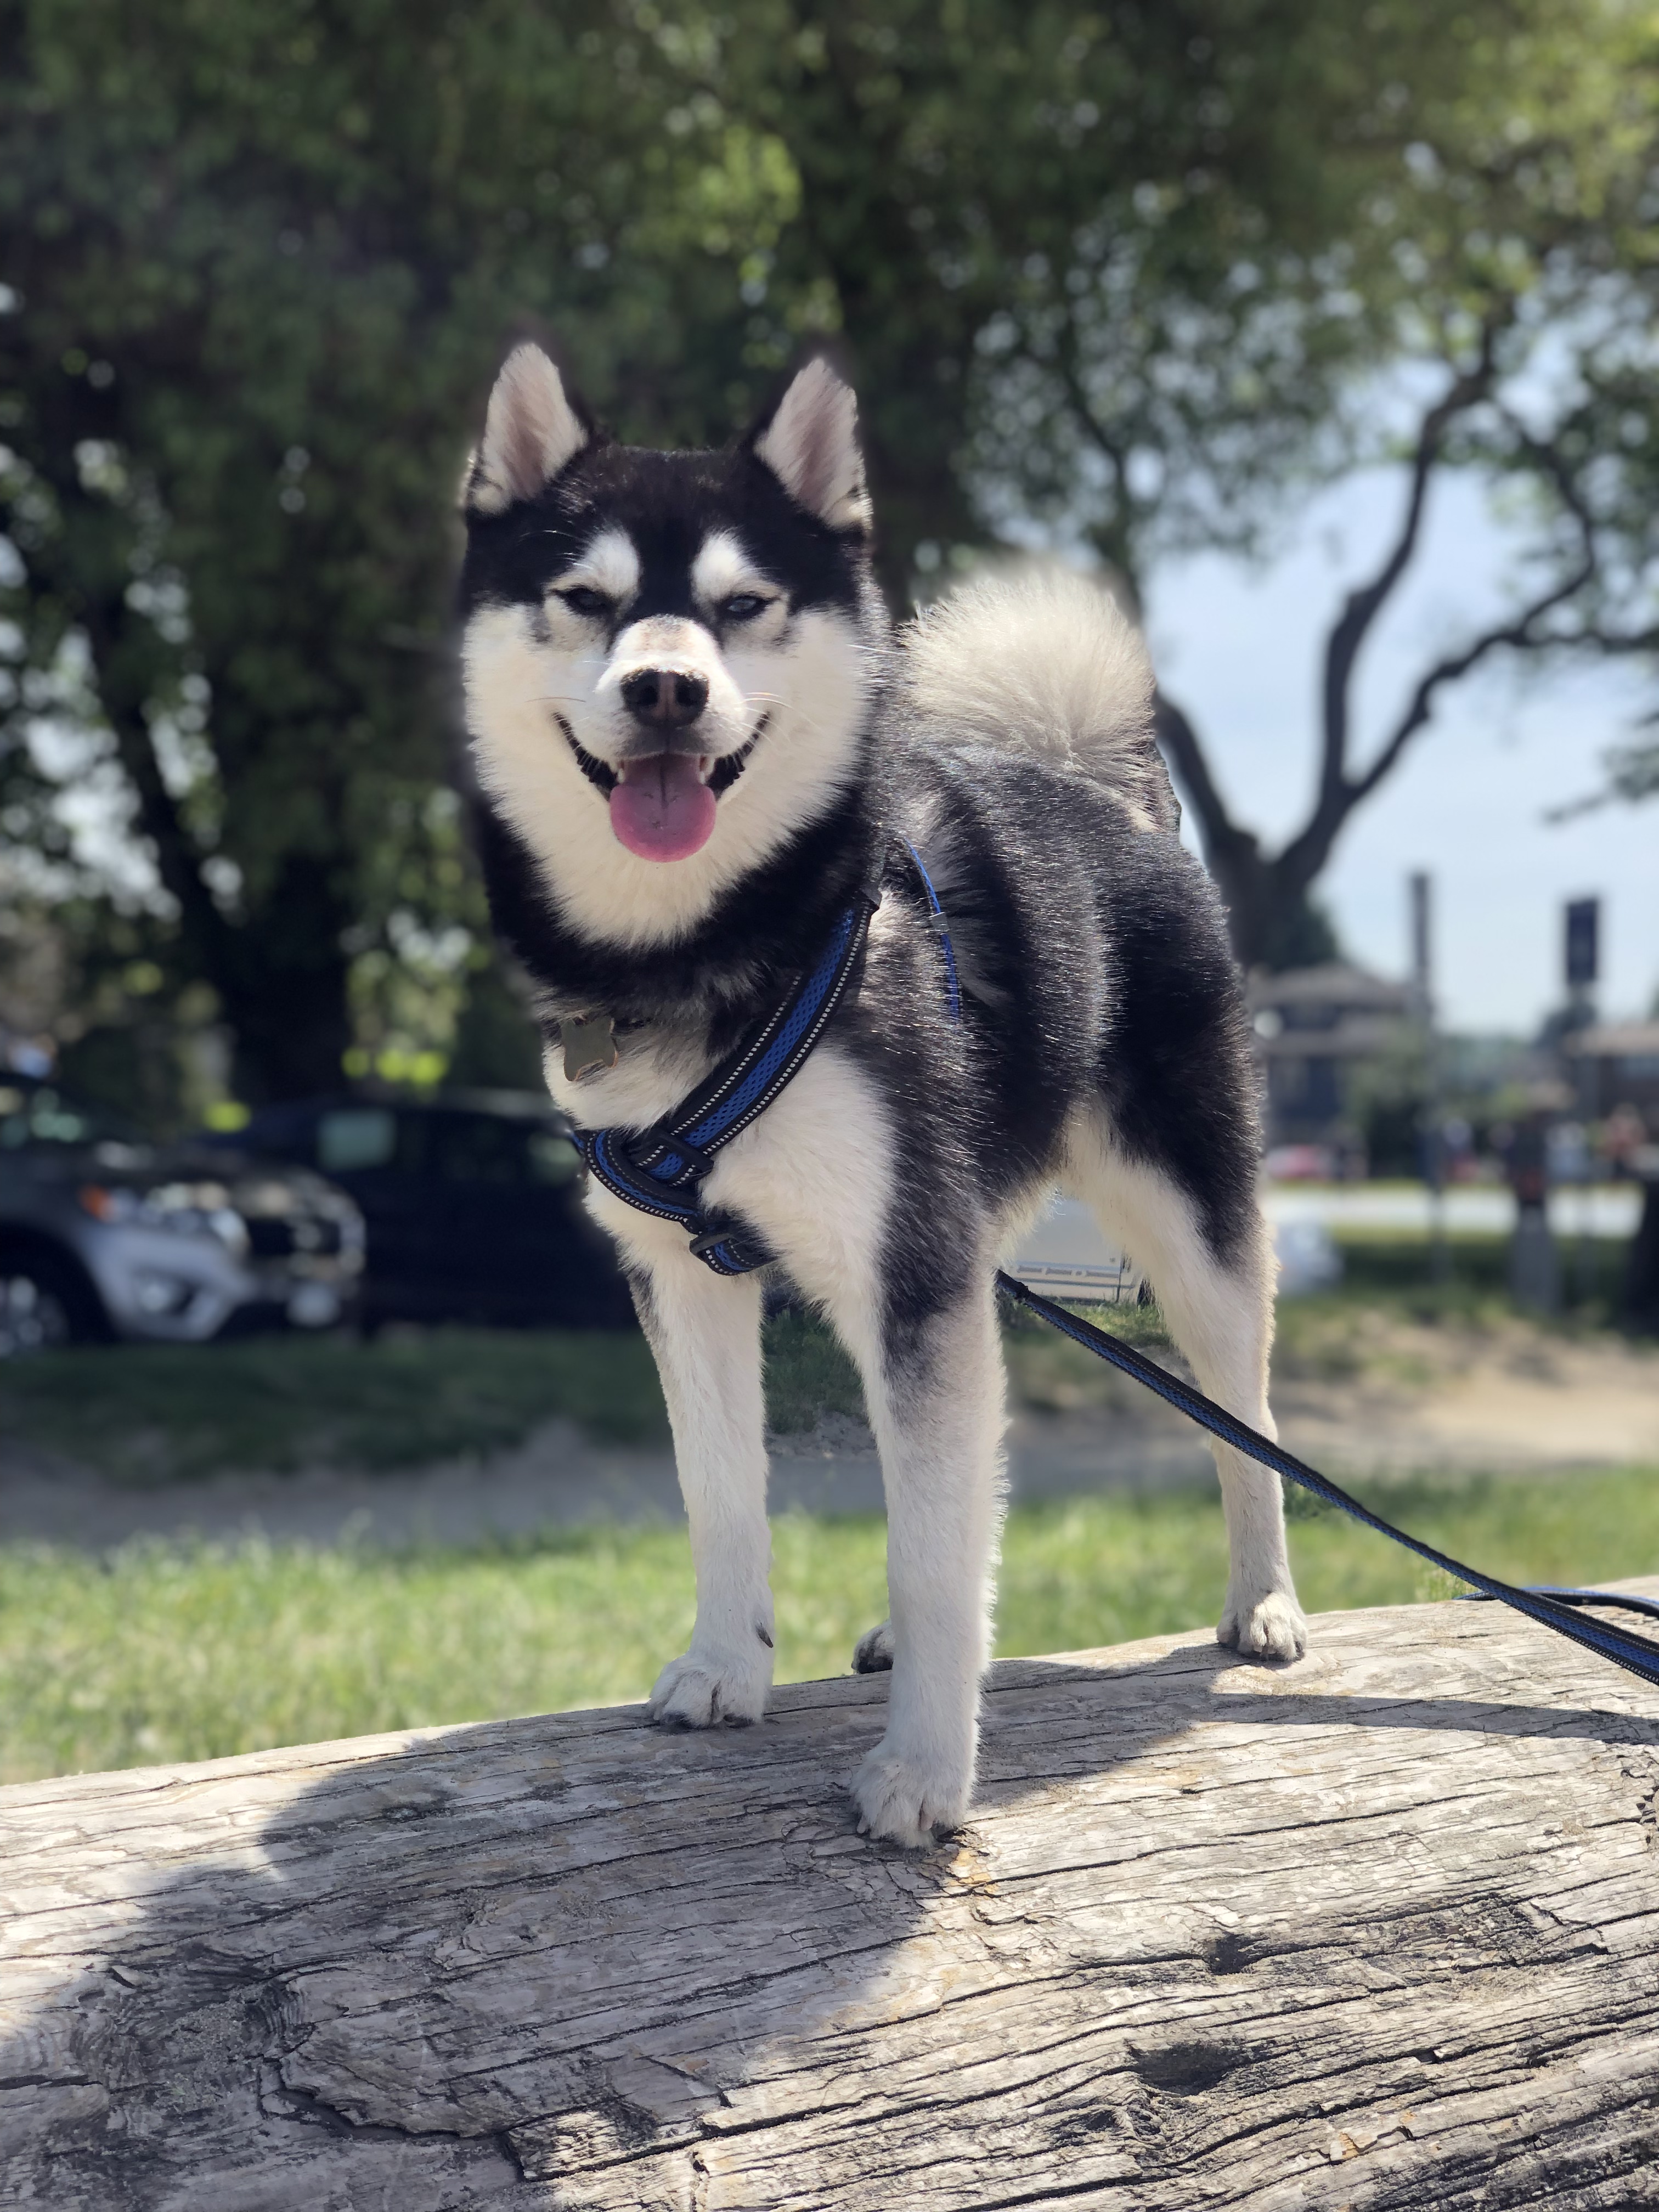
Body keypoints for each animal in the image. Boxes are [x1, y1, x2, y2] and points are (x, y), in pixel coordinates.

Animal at [456, 344, 1307, 1847]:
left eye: (742, 606)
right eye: (587, 601)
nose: (667, 691)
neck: (713, 956)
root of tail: (1099, 793)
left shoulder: (913, 1271)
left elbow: (932, 1543)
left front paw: (922, 1773)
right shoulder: (683, 1275)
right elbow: (727, 1492)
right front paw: (726, 1665)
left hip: (1191, 1227)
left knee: (1244, 1418)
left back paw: (1261, 1599)